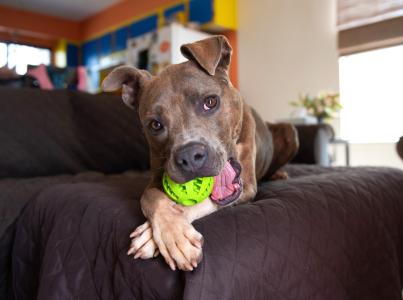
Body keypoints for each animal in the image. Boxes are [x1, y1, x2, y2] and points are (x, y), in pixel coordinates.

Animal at [102, 35, 298, 272]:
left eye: (210, 102)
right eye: (155, 124)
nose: (189, 157)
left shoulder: (247, 187)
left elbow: (198, 203)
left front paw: (165, 237)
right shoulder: (155, 178)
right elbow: (150, 198)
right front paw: (168, 231)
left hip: (289, 131)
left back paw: (278, 173)